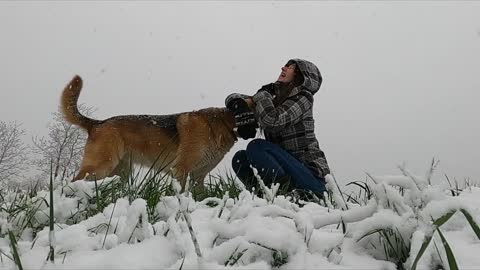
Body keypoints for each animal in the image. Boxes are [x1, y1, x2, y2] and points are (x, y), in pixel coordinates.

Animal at [62, 75, 238, 191]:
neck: (221, 123)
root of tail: (96, 123)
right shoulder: (180, 169)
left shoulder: (198, 176)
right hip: (100, 167)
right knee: (74, 181)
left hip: (121, 172)